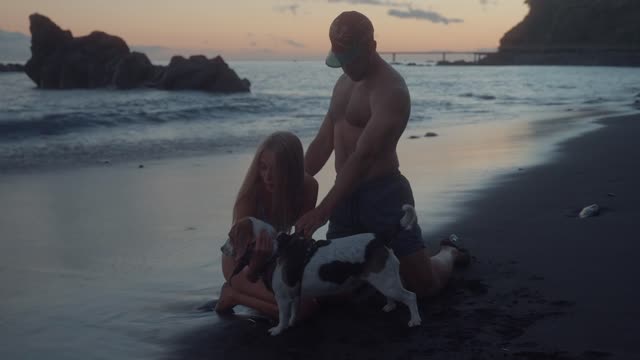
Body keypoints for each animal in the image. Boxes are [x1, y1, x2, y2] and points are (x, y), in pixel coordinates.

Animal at [222, 204, 422, 336]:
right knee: (393, 296)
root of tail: (379, 238)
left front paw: (278, 329)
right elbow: (294, 311)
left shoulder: (283, 298)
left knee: (411, 297)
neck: (276, 248)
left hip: (388, 283)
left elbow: (283, 316)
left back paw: (415, 320)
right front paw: (293, 323)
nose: (221, 249)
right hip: (383, 280)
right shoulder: (294, 295)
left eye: (231, 236)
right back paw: (390, 306)